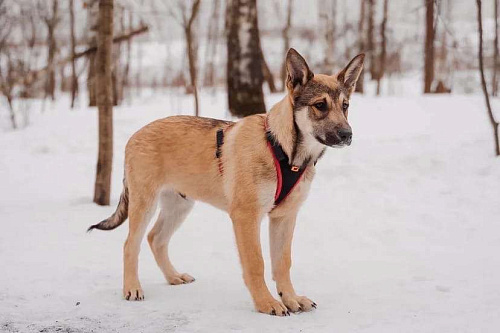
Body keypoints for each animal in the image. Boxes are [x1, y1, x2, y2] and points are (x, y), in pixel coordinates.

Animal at [89, 48, 364, 316]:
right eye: (320, 105)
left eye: (346, 106)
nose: (347, 135)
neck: (284, 150)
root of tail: (134, 136)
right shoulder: (246, 217)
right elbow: (256, 263)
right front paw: (266, 303)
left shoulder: (284, 217)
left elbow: (282, 262)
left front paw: (291, 298)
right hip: (144, 203)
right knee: (130, 245)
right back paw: (132, 288)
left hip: (179, 205)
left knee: (156, 239)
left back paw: (173, 276)